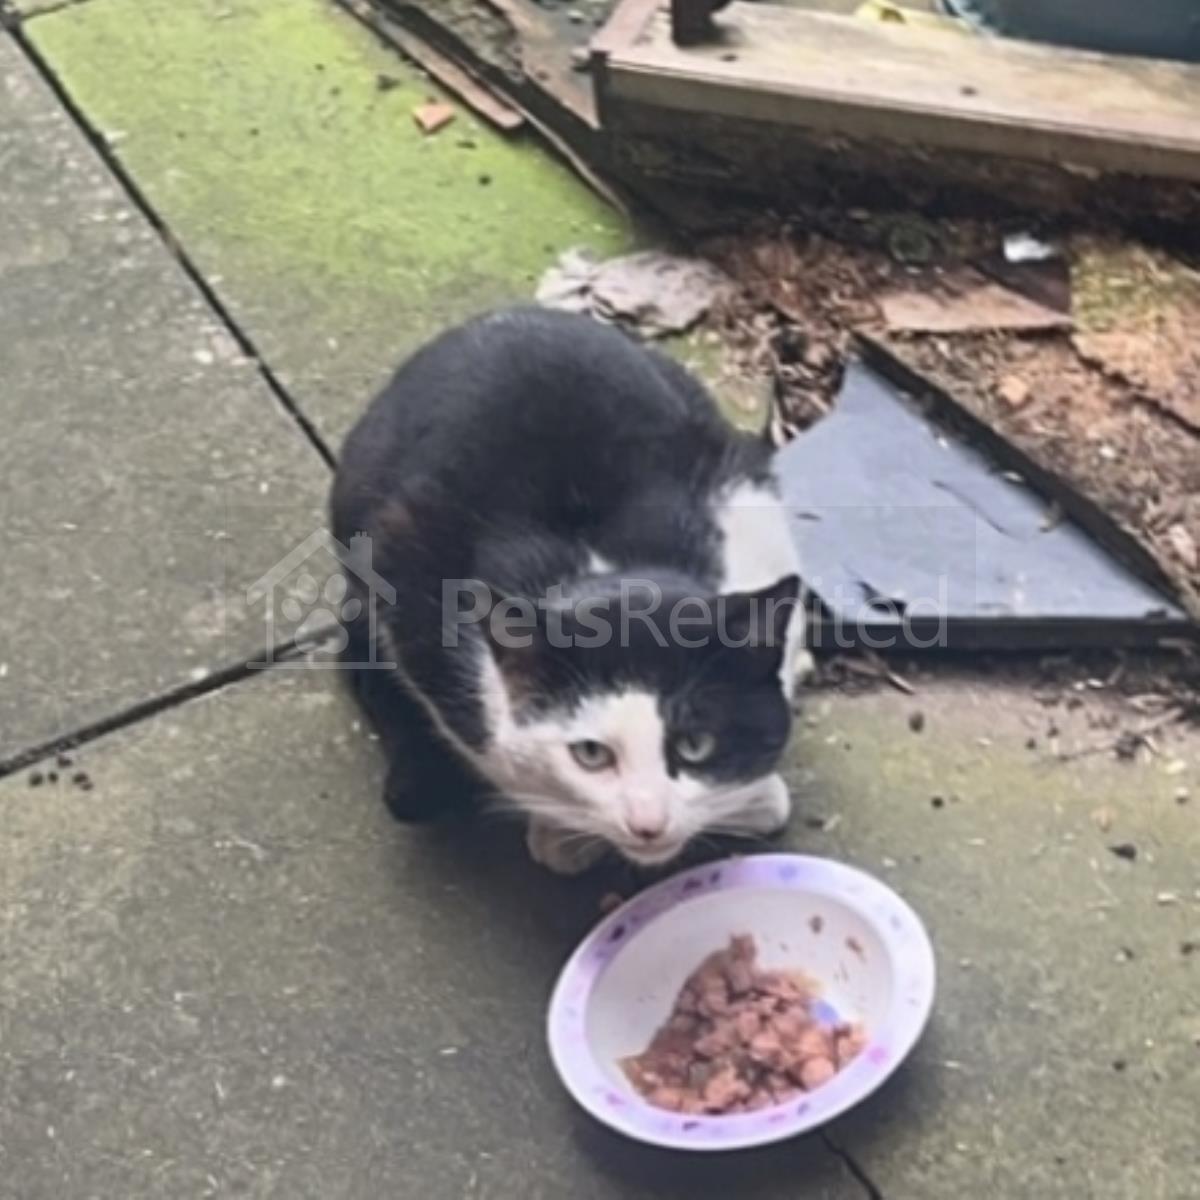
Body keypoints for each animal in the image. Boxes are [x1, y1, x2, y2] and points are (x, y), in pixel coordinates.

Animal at [330, 307, 811, 874]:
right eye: (590, 754)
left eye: (695, 744)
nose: (648, 823)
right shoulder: (412, 584)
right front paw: (561, 834)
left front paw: (753, 798)